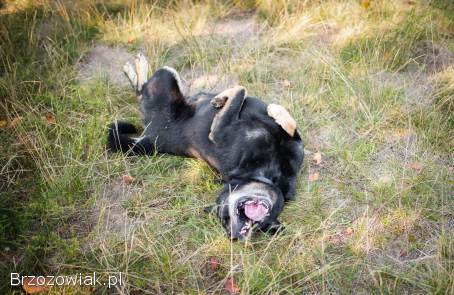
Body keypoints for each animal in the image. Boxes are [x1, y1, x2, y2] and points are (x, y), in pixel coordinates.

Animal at [107, 54, 304, 242]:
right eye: (224, 218)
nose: (233, 237)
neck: (269, 174)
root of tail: (151, 137)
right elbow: (246, 93)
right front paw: (223, 99)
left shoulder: (220, 130)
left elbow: (246, 95)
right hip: (170, 78)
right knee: (142, 88)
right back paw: (135, 68)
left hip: (165, 81)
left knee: (142, 90)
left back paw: (135, 68)